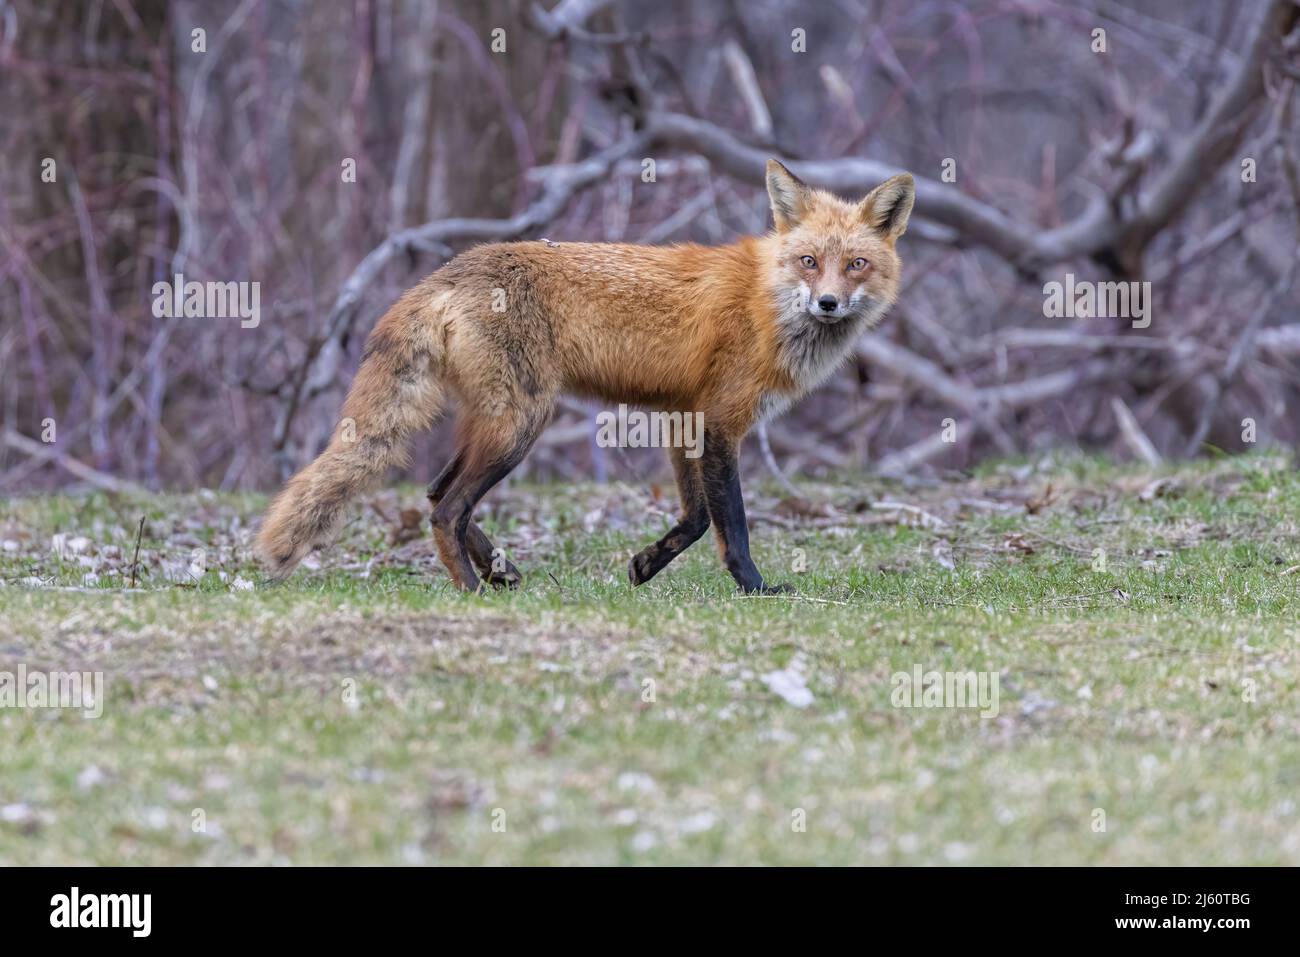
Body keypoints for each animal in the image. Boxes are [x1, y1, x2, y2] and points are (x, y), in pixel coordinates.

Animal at [256, 159, 914, 594]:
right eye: (809, 261)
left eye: (856, 264)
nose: (828, 303)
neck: (767, 303)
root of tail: (450, 270)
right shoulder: (721, 422)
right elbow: (733, 522)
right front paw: (755, 587)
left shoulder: (684, 418)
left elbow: (696, 519)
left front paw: (645, 565)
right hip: (522, 424)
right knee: (447, 507)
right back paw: (471, 588)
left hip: (496, 420)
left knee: (438, 492)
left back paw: (499, 571)